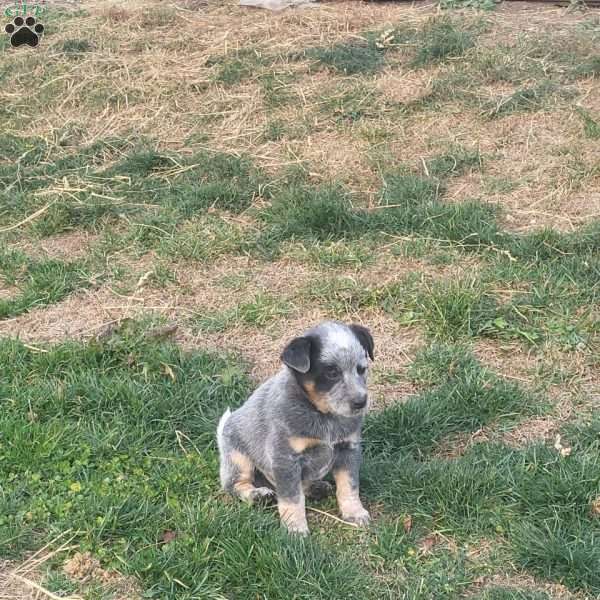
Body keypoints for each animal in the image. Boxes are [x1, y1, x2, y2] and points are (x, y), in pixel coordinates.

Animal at [216, 322, 376, 536]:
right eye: (331, 372)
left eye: (361, 369)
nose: (361, 402)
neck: (322, 414)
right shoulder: (285, 458)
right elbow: (292, 498)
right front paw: (295, 528)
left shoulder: (348, 448)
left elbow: (349, 485)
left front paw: (354, 512)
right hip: (237, 457)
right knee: (235, 484)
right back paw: (258, 495)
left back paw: (316, 488)